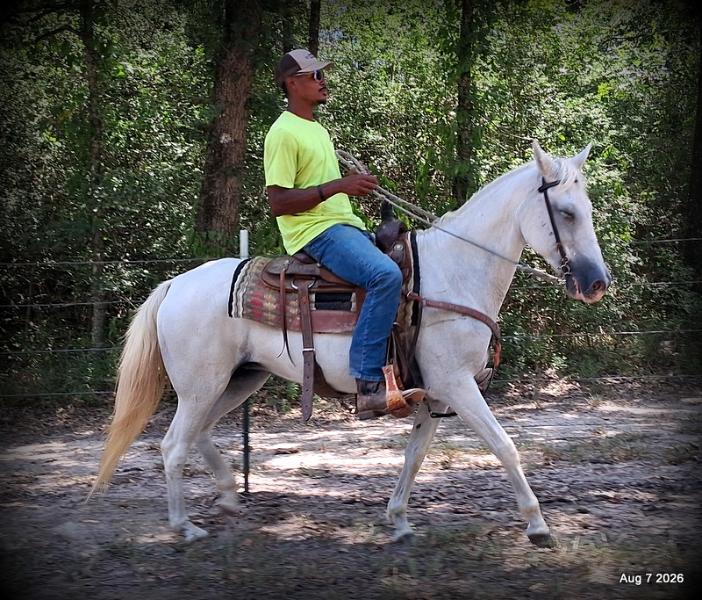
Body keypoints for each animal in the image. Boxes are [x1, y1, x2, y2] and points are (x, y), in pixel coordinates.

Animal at [93, 141, 610, 545]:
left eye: (587, 210)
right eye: (565, 213)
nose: (596, 282)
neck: (454, 273)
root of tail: (174, 285)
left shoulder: (436, 393)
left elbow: (415, 455)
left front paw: (398, 519)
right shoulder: (458, 384)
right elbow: (504, 445)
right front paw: (538, 525)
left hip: (239, 380)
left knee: (198, 434)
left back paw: (225, 496)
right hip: (202, 385)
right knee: (173, 445)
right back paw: (183, 525)